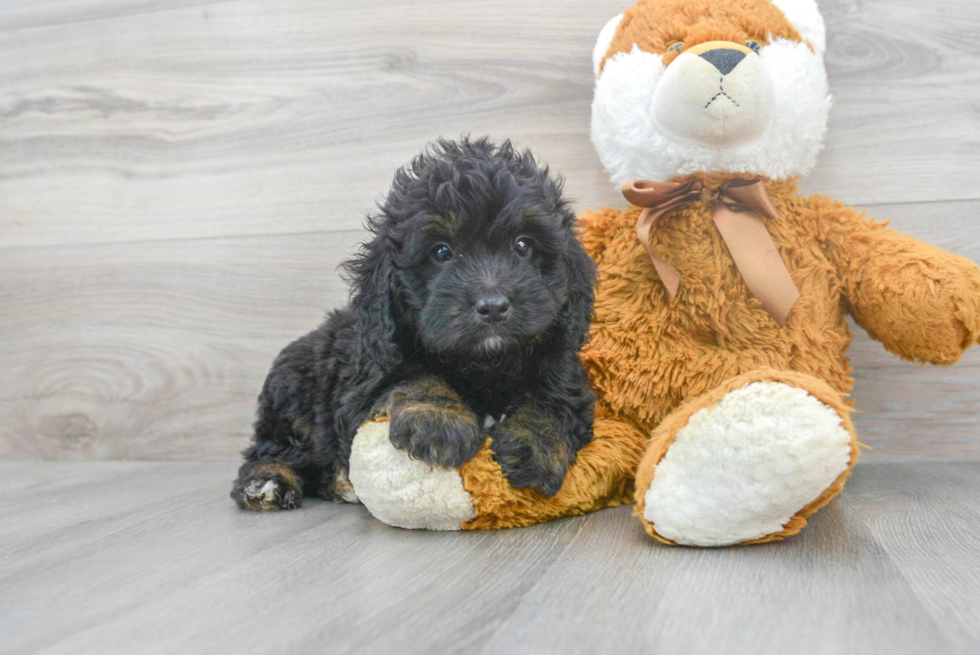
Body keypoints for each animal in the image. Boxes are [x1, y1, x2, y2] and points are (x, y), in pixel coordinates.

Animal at [234, 138, 596, 512]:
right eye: (441, 252)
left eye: (523, 245)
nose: (493, 307)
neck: (484, 362)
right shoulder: (367, 382)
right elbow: (414, 378)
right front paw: (439, 420)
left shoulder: (561, 372)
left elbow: (550, 405)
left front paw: (533, 448)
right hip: (291, 396)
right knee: (271, 449)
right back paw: (267, 481)